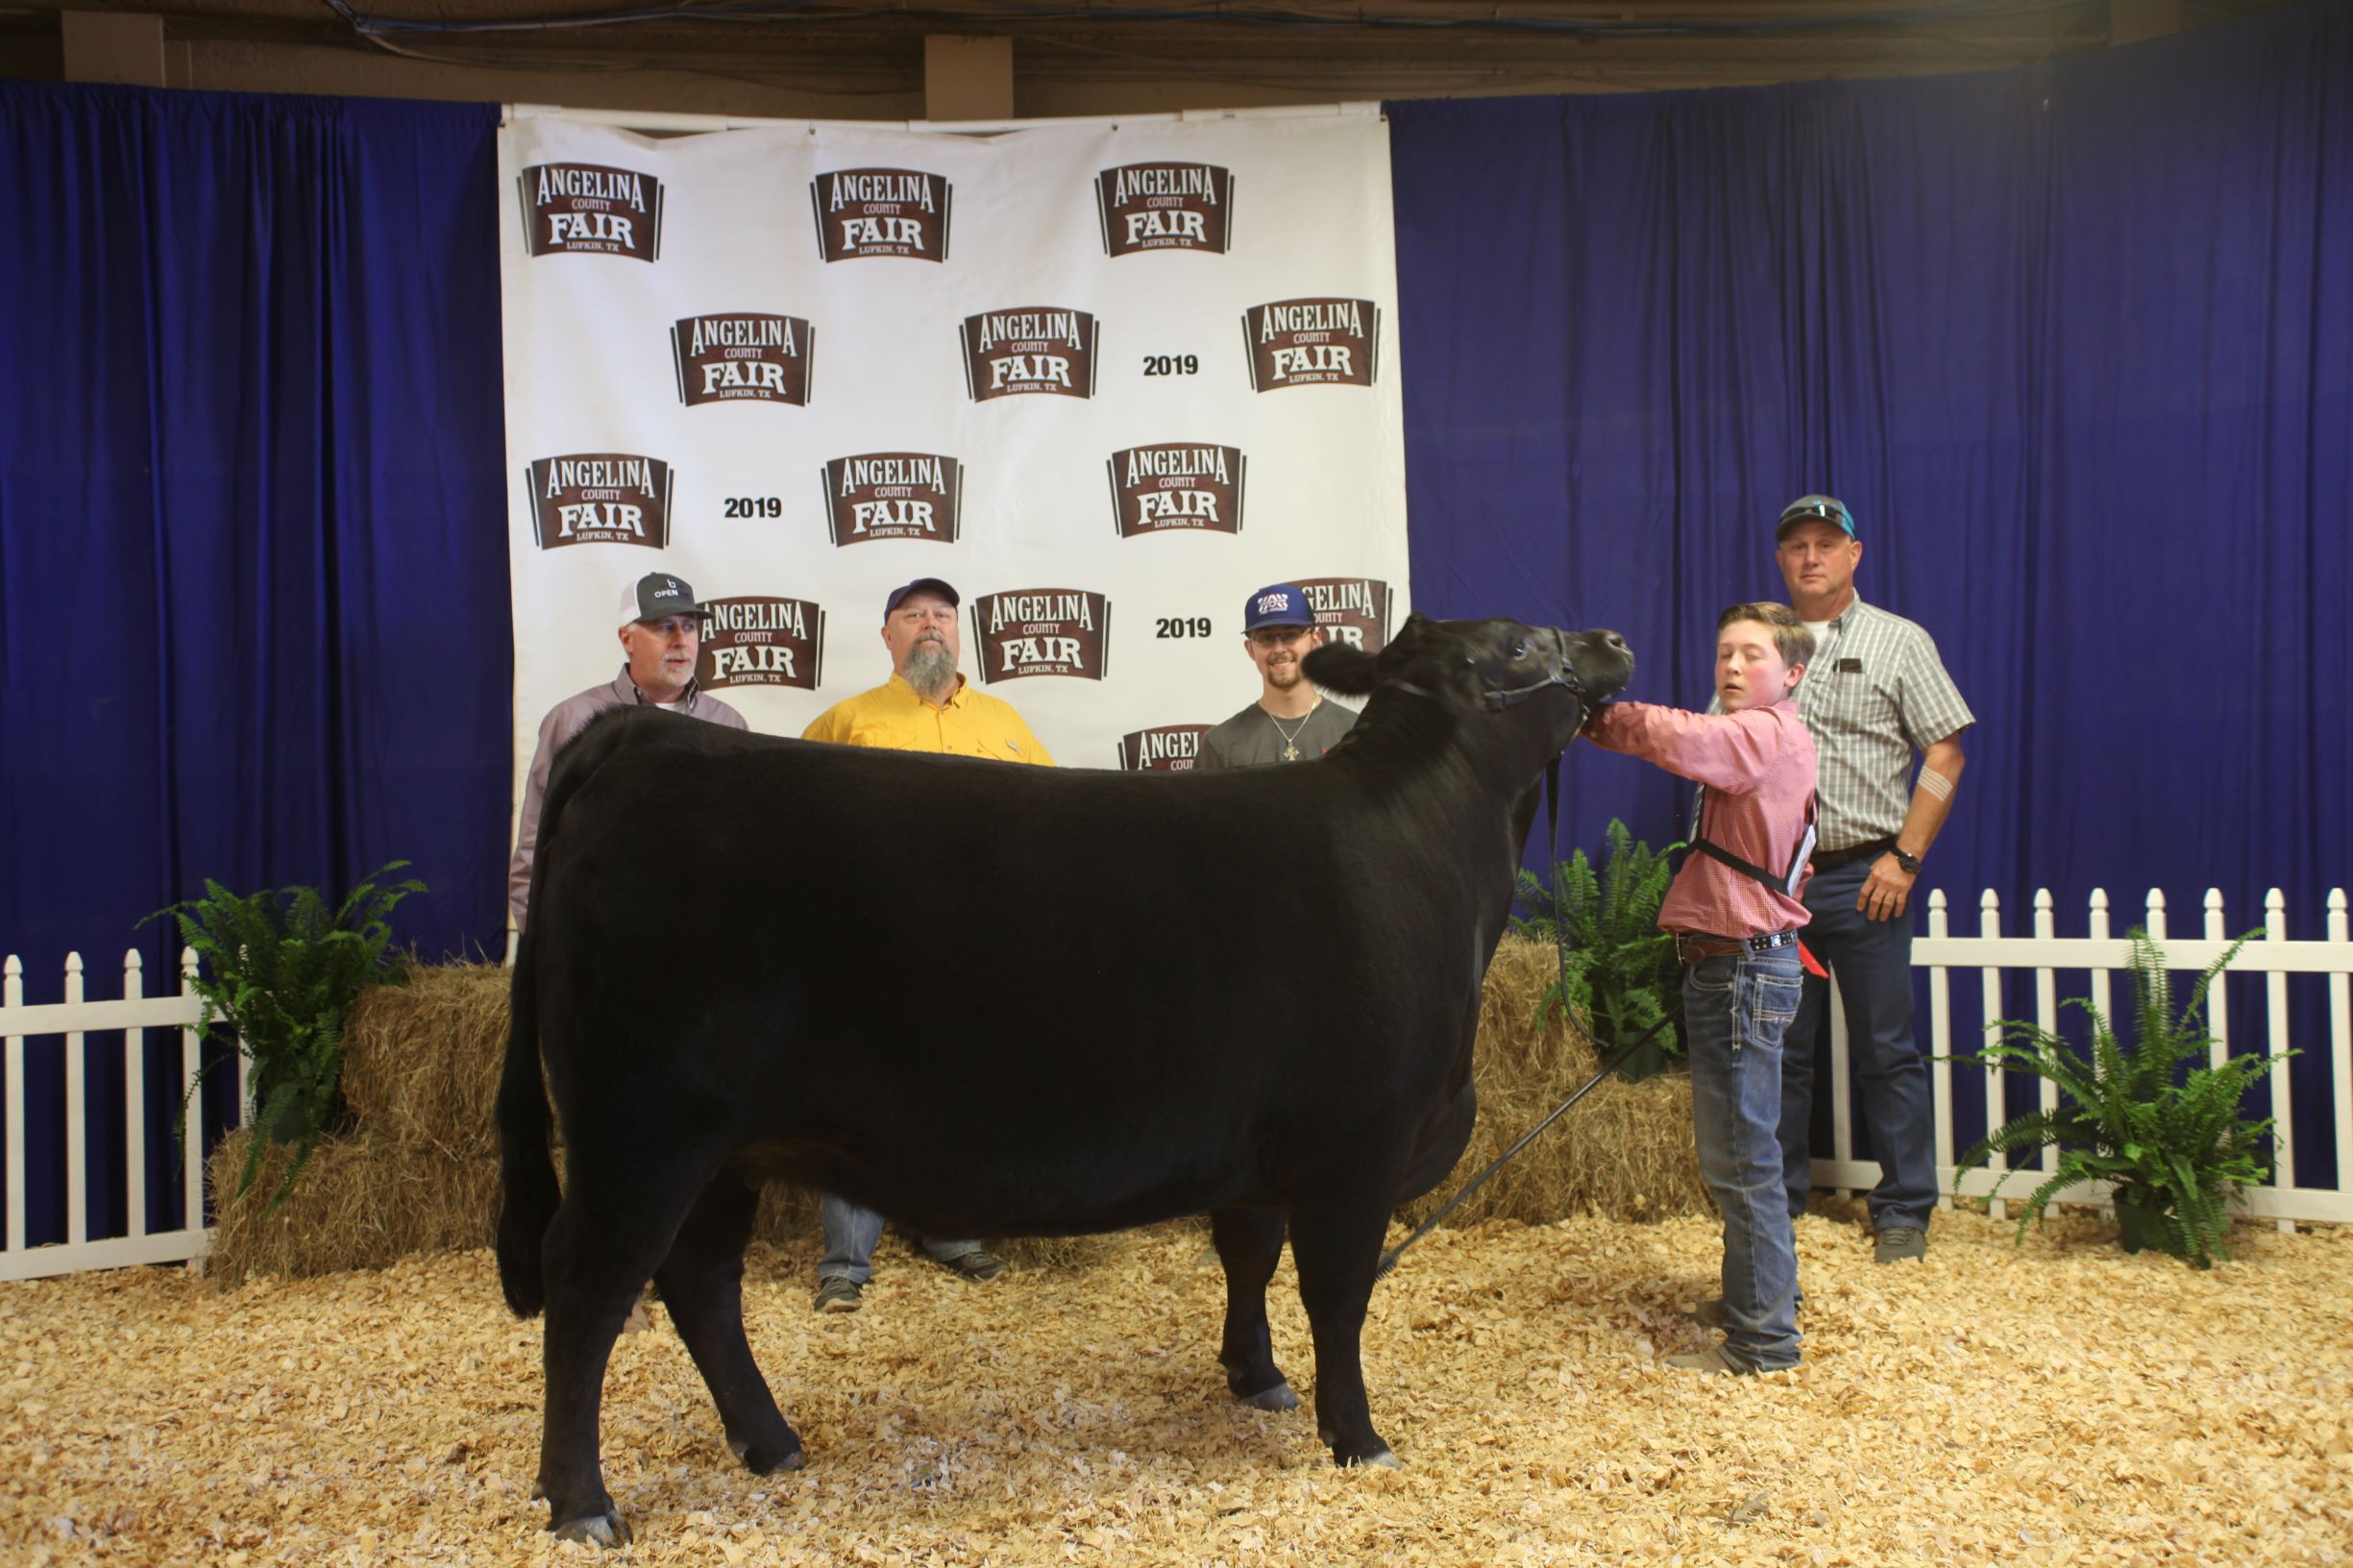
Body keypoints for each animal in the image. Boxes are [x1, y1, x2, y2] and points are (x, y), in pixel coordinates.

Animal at [496, 612, 1637, 1534]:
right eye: (1519, 643)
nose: (1614, 640)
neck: (1425, 850)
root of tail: (648, 735)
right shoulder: (1355, 1148)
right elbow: (1336, 1294)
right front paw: (1355, 1436)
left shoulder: (1266, 1151)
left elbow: (1247, 1258)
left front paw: (1254, 1377)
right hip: (641, 1132)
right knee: (587, 1288)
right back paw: (583, 1504)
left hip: (726, 1148)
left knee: (698, 1282)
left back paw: (769, 1442)